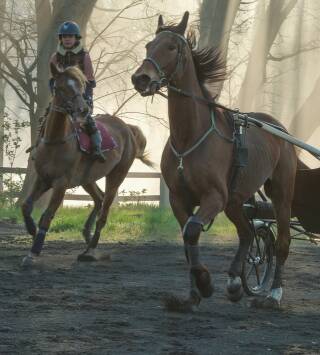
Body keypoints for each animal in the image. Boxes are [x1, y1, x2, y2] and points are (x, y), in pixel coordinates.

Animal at [21, 63, 154, 268]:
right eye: (60, 87)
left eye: (81, 85)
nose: (83, 109)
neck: (55, 141)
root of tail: (128, 129)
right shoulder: (43, 179)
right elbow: (26, 206)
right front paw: (32, 230)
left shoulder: (60, 184)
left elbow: (47, 215)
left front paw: (34, 251)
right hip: (87, 178)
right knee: (99, 198)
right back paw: (87, 234)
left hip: (117, 175)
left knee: (104, 211)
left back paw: (90, 250)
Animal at [131, 11, 296, 312]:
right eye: (149, 45)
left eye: (171, 47)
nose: (141, 78)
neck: (190, 138)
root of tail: (278, 128)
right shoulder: (180, 199)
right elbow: (188, 238)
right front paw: (192, 295)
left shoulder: (214, 197)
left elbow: (193, 231)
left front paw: (206, 283)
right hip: (235, 199)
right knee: (246, 232)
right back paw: (235, 282)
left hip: (280, 192)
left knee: (281, 241)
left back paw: (273, 294)